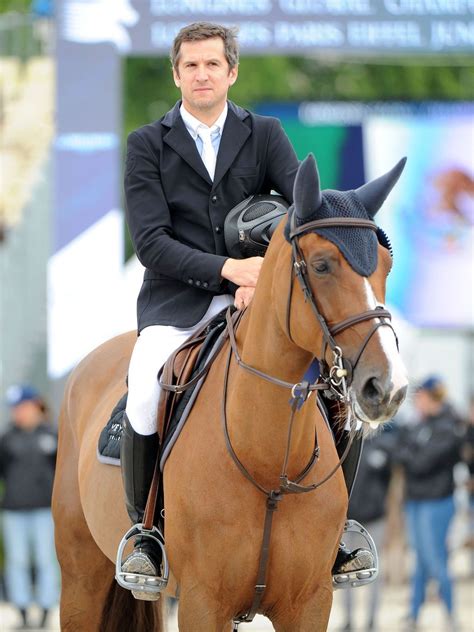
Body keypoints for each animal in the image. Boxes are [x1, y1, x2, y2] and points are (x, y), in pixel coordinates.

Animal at [51, 154, 408, 632]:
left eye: (386, 264)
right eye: (321, 265)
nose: (387, 386)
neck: (269, 461)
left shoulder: (310, 604)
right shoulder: (203, 603)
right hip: (81, 579)